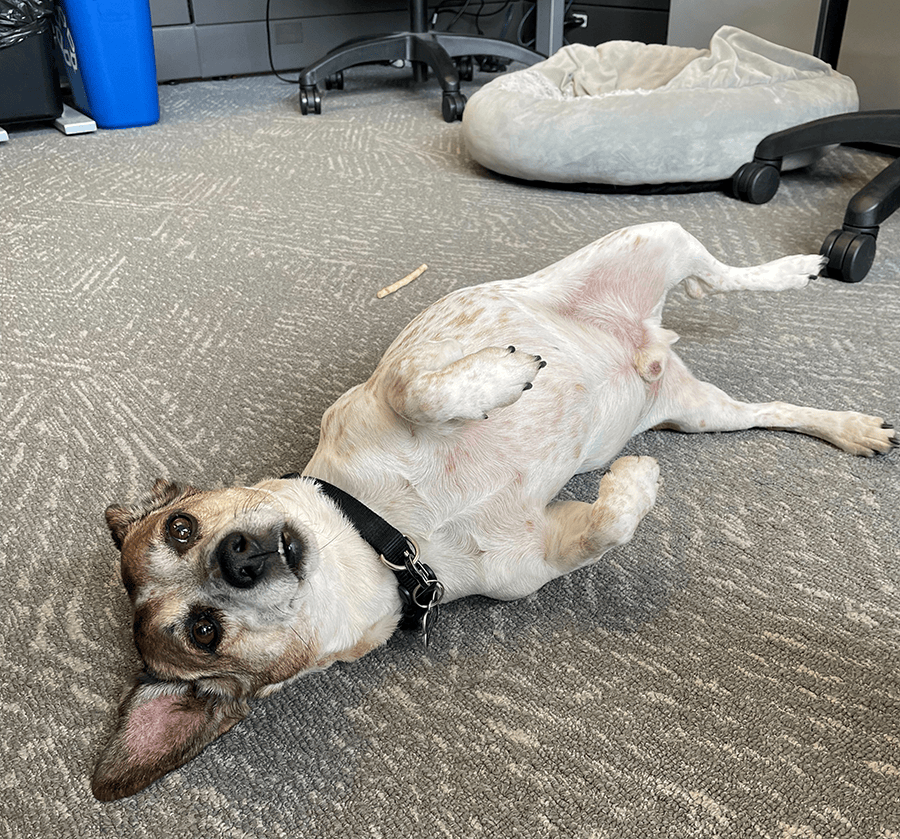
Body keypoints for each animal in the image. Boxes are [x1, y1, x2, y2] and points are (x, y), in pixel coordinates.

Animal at [89, 223, 892, 800]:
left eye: (181, 526)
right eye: (205, 632)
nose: (239, 556)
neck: (390, 537)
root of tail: (651, 344)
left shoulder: (381, 392)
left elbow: (418, 386)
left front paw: (504, 375)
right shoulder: (537, 554)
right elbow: (610, 523)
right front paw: (635, 481)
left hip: (649, 239)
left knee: (719, 272)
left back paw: (798, 268)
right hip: (701, 413)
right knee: (770, 409)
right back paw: (850, 425)